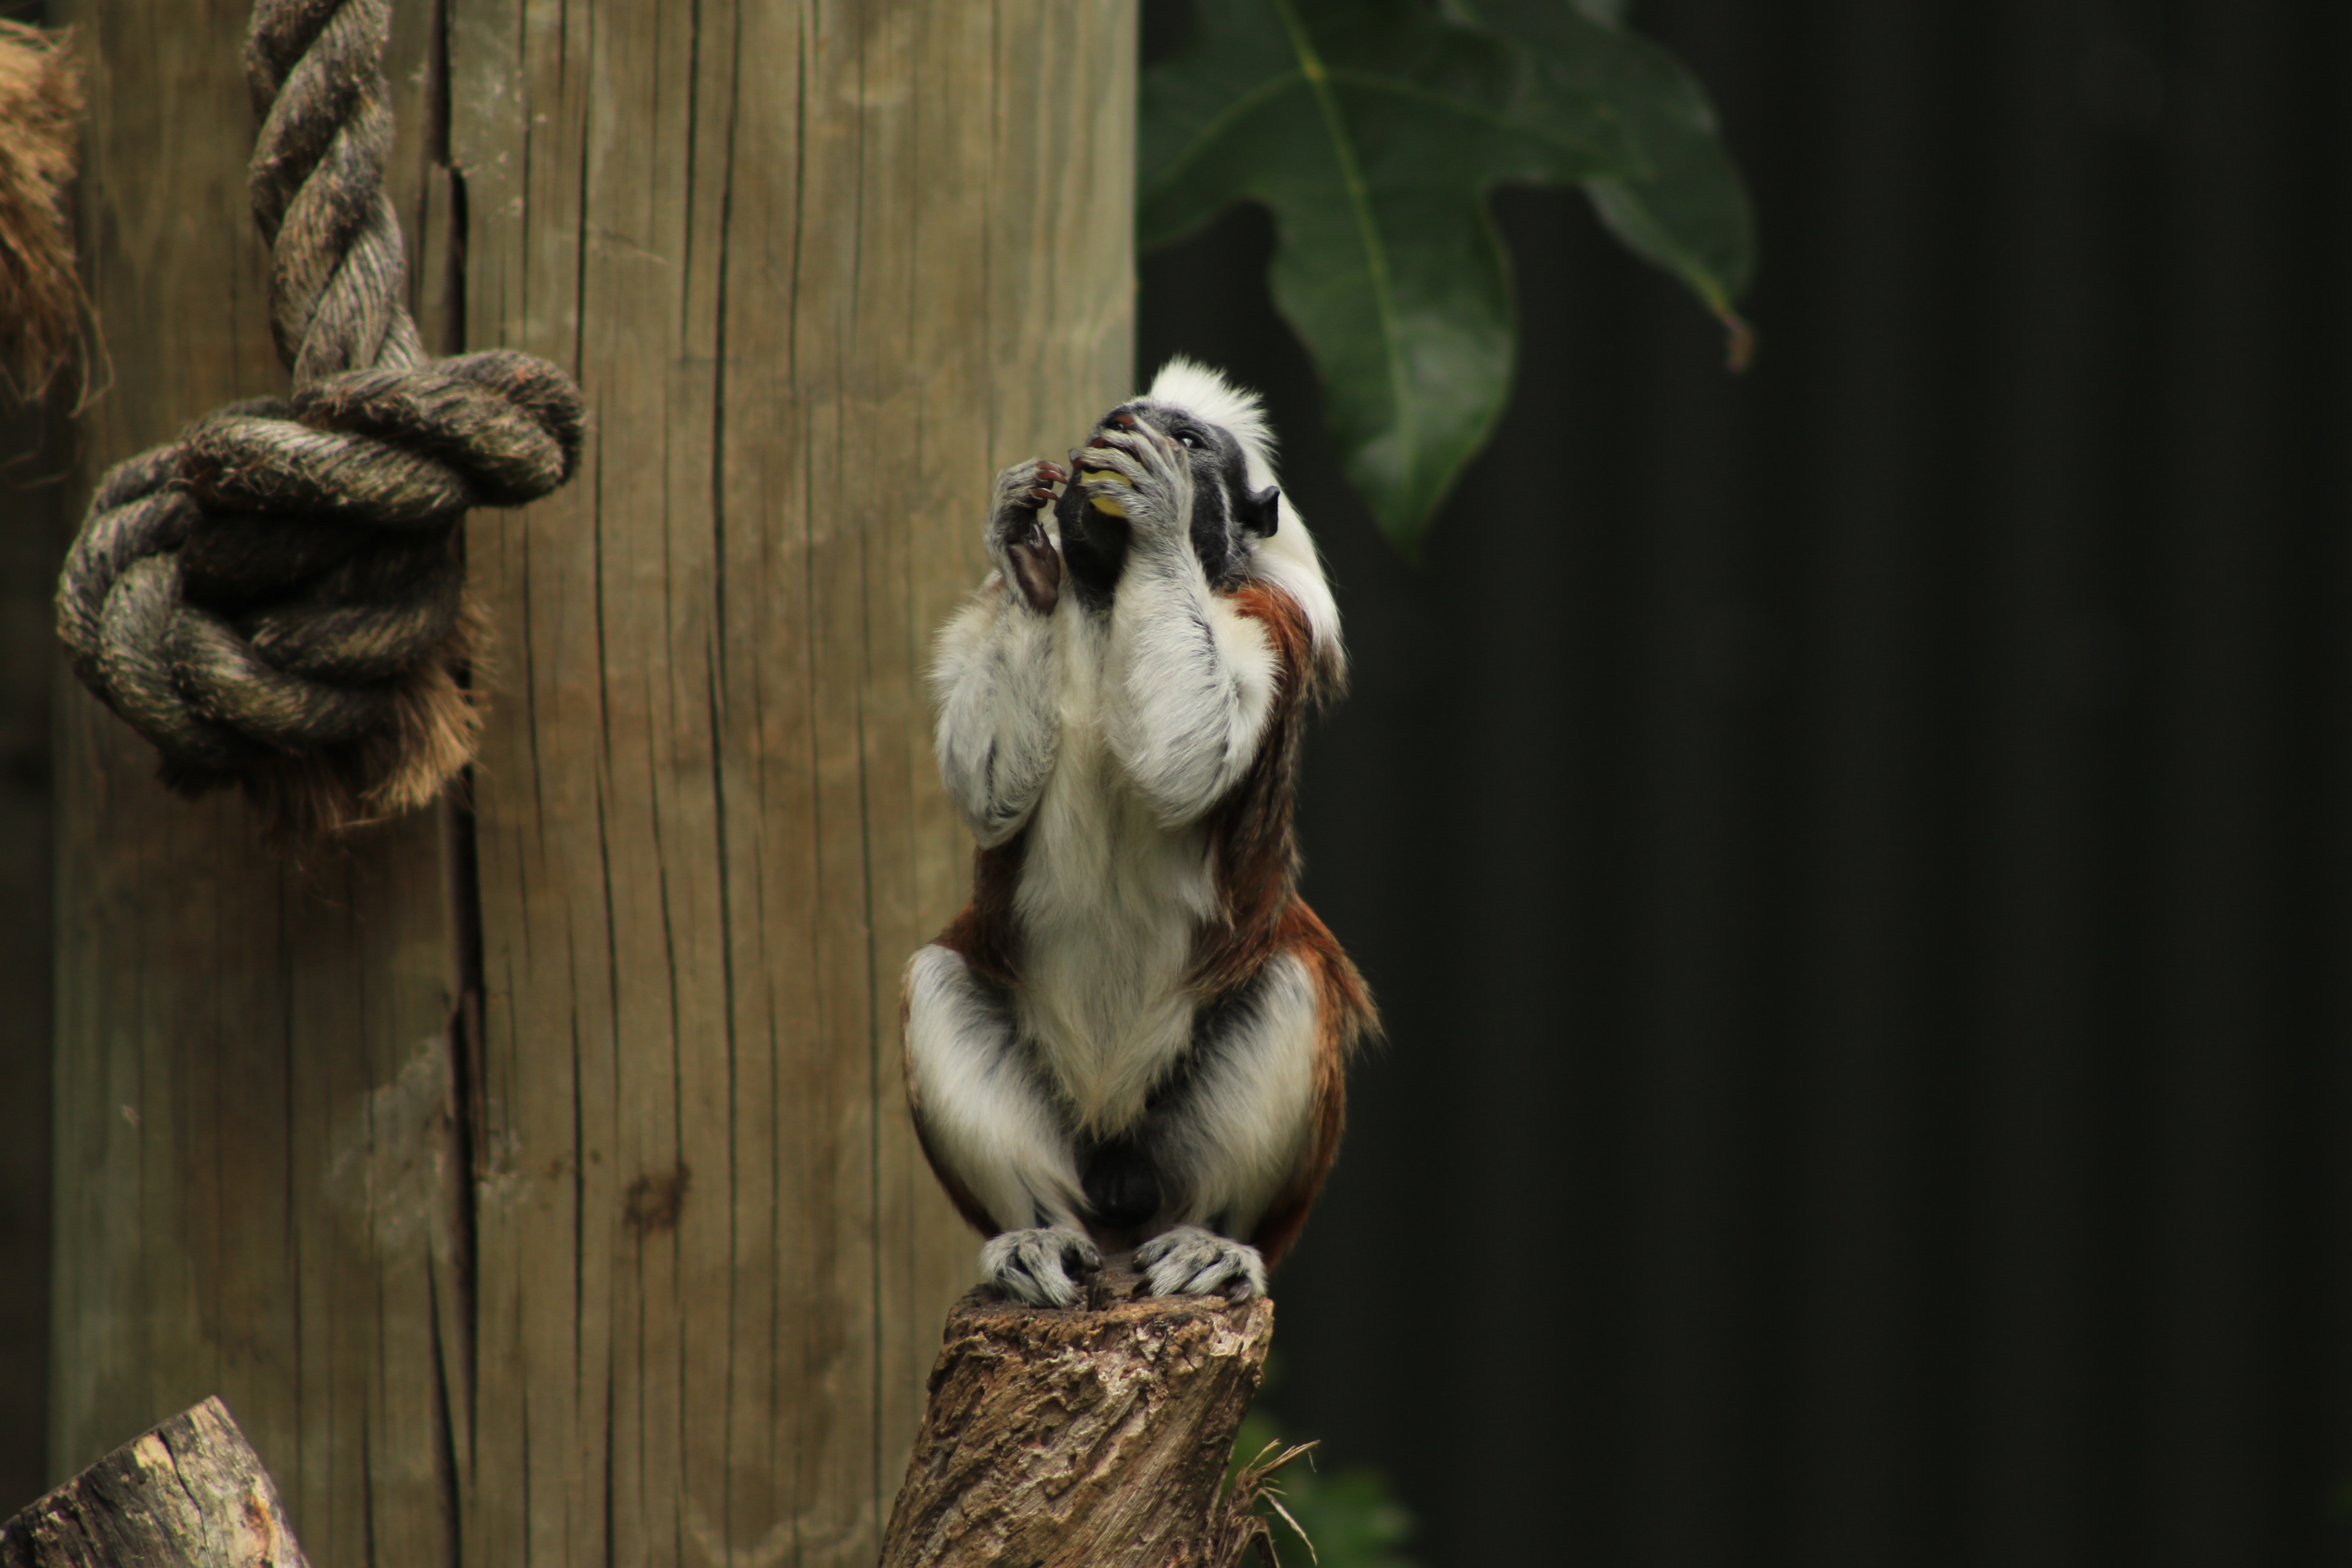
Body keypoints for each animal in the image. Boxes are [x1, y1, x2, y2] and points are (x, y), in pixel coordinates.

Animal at [898, 362, 1373, 1307]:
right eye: (1105, 421)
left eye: (1186, 439)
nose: (1121, 432)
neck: (1110, 599)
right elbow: (988, 788)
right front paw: (1024, 546)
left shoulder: (1268, 620)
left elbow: (1188, 755)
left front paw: (1155, 510)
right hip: (1073, 1150)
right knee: (941, 983)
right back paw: (1037, 1237)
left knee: (1293, 985)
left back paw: (1211, 1242)